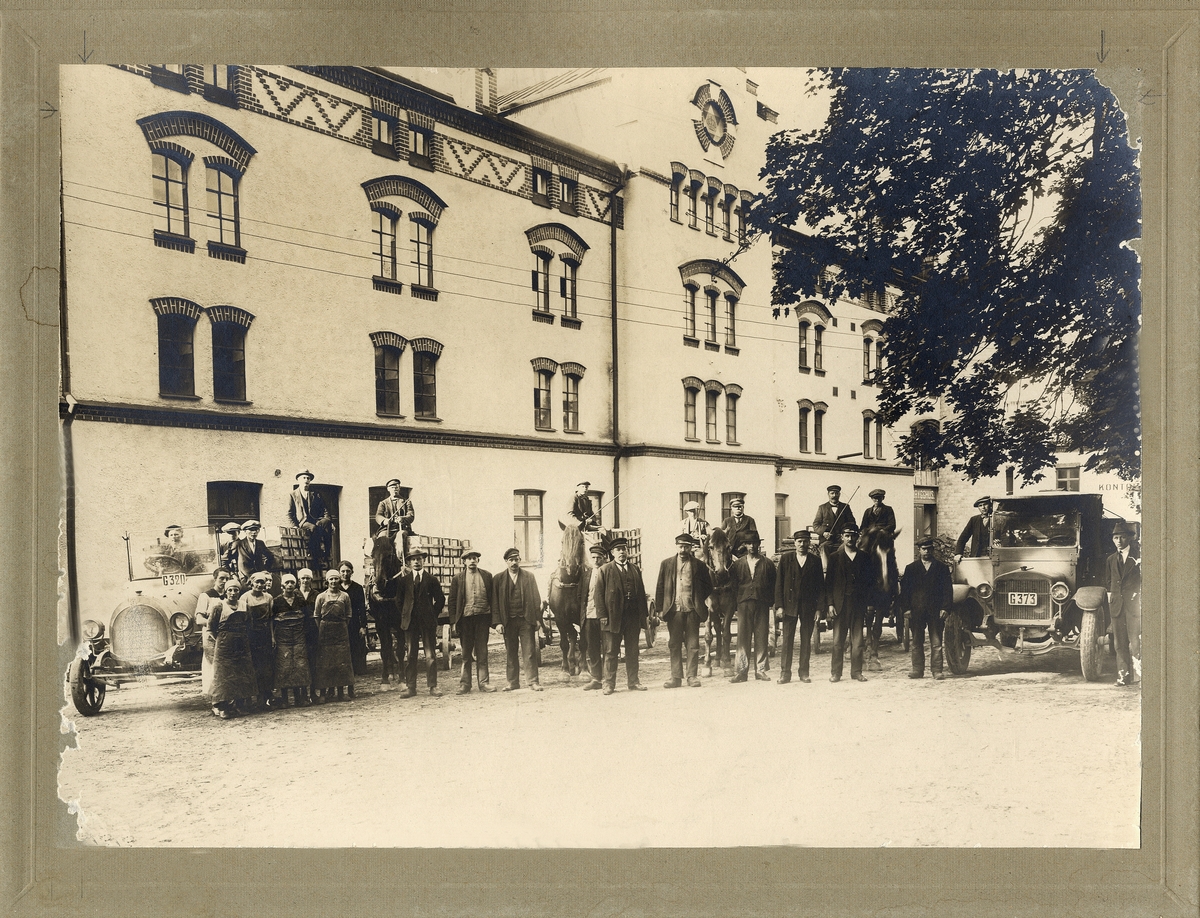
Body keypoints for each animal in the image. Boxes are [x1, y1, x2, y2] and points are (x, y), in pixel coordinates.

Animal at [547, 523, 588, 672]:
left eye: (581, 542)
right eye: (562, 542)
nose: (572, 567)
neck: (570, 585)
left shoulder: (583, 618)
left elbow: (584, 642)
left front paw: (584, 668)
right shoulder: (560, 618)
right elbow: (565, 642)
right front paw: (565, 667)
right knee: (572, 635)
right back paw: (572, 661)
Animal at [696, 525, 739, 676]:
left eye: (728, 546)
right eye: (711, 547)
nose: (721, 572)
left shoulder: (730, 607)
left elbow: (726, 634)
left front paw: (727, 663)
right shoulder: (708, 608)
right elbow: (709, 636)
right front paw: (707, 665)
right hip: (715, 611)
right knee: (717, 628)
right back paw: (716, 659)